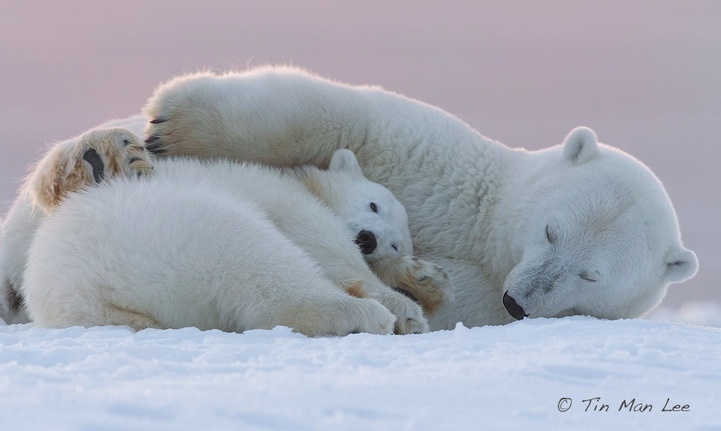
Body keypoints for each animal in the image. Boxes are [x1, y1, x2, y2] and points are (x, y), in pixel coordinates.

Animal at [2, 126, 448, 336]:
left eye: (395, 244)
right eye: (373, 205)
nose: (370, 239)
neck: (300, 181)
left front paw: (420, 285)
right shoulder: (282, 196)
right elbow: (324, 244)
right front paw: (404, 307)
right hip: (177, 228)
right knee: (263, 265)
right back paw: (363, 315)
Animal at [139, 66, 696, 328]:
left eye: (591, 275)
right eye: (550, 231)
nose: (516, 302)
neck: (488, 238)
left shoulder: (482, 303)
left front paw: (414, 281)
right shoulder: (436, 161)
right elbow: (343, 115)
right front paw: (171, 126)